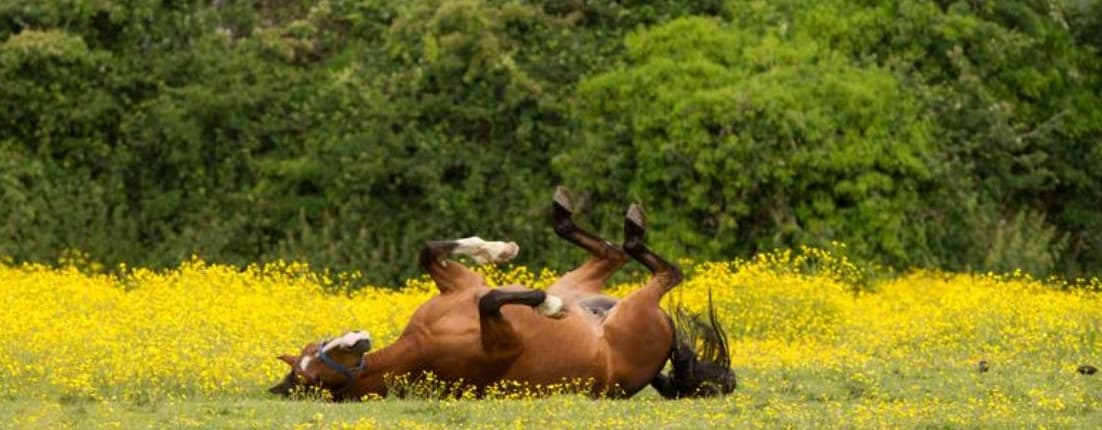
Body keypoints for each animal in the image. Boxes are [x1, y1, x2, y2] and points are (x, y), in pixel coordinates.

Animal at [269, 187, 735, 400]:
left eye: (318, 347)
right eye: (311, 377)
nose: (356, 339)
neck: (421, 344)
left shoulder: (459, 285)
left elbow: (432, 252)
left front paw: (497, 250)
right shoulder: (503, 342)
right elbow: (492, 299)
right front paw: (548, 305)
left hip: (586, 283)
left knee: (613, 252)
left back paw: (571, 214)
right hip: (636, 310)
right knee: (663, 271)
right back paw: (627, 233)